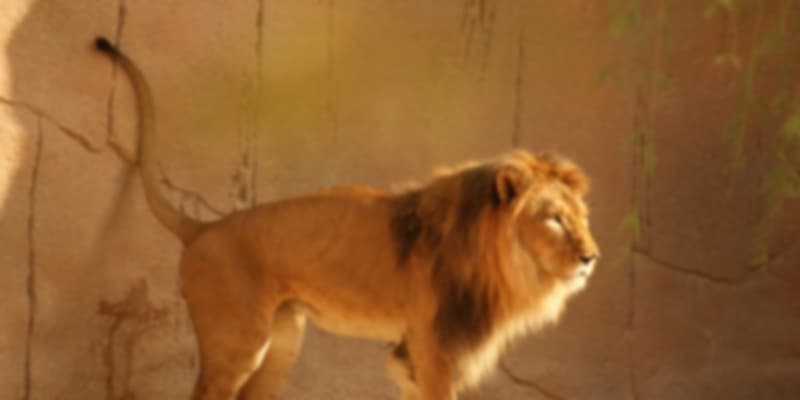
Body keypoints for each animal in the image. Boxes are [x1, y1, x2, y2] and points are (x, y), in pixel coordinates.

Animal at [94, 37, 599, 400]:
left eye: (582, 217)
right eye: (554, 220)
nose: (591, 258)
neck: (503, 263)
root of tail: (204, 227)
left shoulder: (413, 354)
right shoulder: (433, 347)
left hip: (282, 342)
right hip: (237, 342)